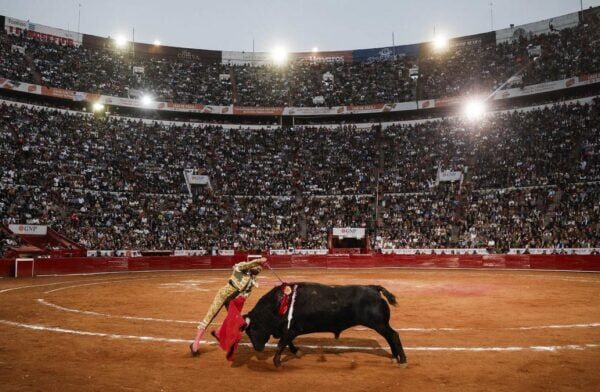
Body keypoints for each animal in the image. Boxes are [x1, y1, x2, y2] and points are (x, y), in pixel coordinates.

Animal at [244, 284, 408, 366]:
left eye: (254, 328)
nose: (257, 349)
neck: (277, 305)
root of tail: (374, 288)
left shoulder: (290, 330)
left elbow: (280, 344)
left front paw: (276, 362)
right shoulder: (289, 330)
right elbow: (287, 343)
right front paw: (296, 352)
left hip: (379, 324)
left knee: (393, 335)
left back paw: (403, 360)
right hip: (380, 324)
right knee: (390, 337)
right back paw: (395, 357)